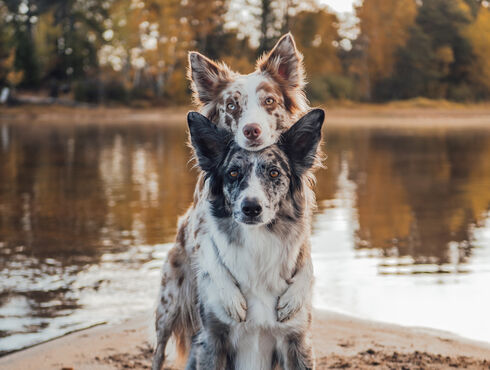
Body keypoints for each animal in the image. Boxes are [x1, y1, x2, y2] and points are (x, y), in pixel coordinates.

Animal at [153, 33, 312, 368]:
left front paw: (296, 291)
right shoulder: (203, 227)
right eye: (231, 105)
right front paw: (229, 295)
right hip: (167, 309)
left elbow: (305, 259)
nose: (252, 130)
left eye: (269, 101)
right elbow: (211, 255)